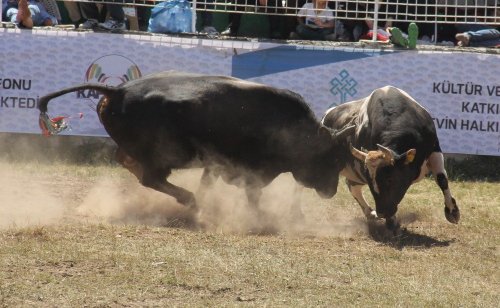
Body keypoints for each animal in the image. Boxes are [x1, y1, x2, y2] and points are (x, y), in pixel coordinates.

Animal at [38, 71, 352, 218]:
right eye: (335, 160)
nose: (331, 191)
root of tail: (118, 90)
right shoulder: (248, 169)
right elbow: (252, 195)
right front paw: (261, 216)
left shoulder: (215, 163)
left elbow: (209, 181)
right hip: (164, 155)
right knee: (151, 177)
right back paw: (189, 200)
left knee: (129, 163)